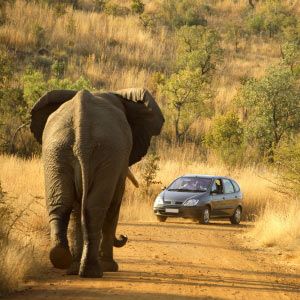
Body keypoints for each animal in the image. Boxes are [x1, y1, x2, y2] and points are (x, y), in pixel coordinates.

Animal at [29, 88, 164, 278]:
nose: (124, 237)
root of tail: (82, 126)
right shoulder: (119, 160)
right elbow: (115, 202)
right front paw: (110, 267)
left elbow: (77, 209)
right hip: (99, 152)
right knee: (95, 209)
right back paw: (94, 271)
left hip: (57, 152)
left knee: (63, 204)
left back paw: (65, 262)